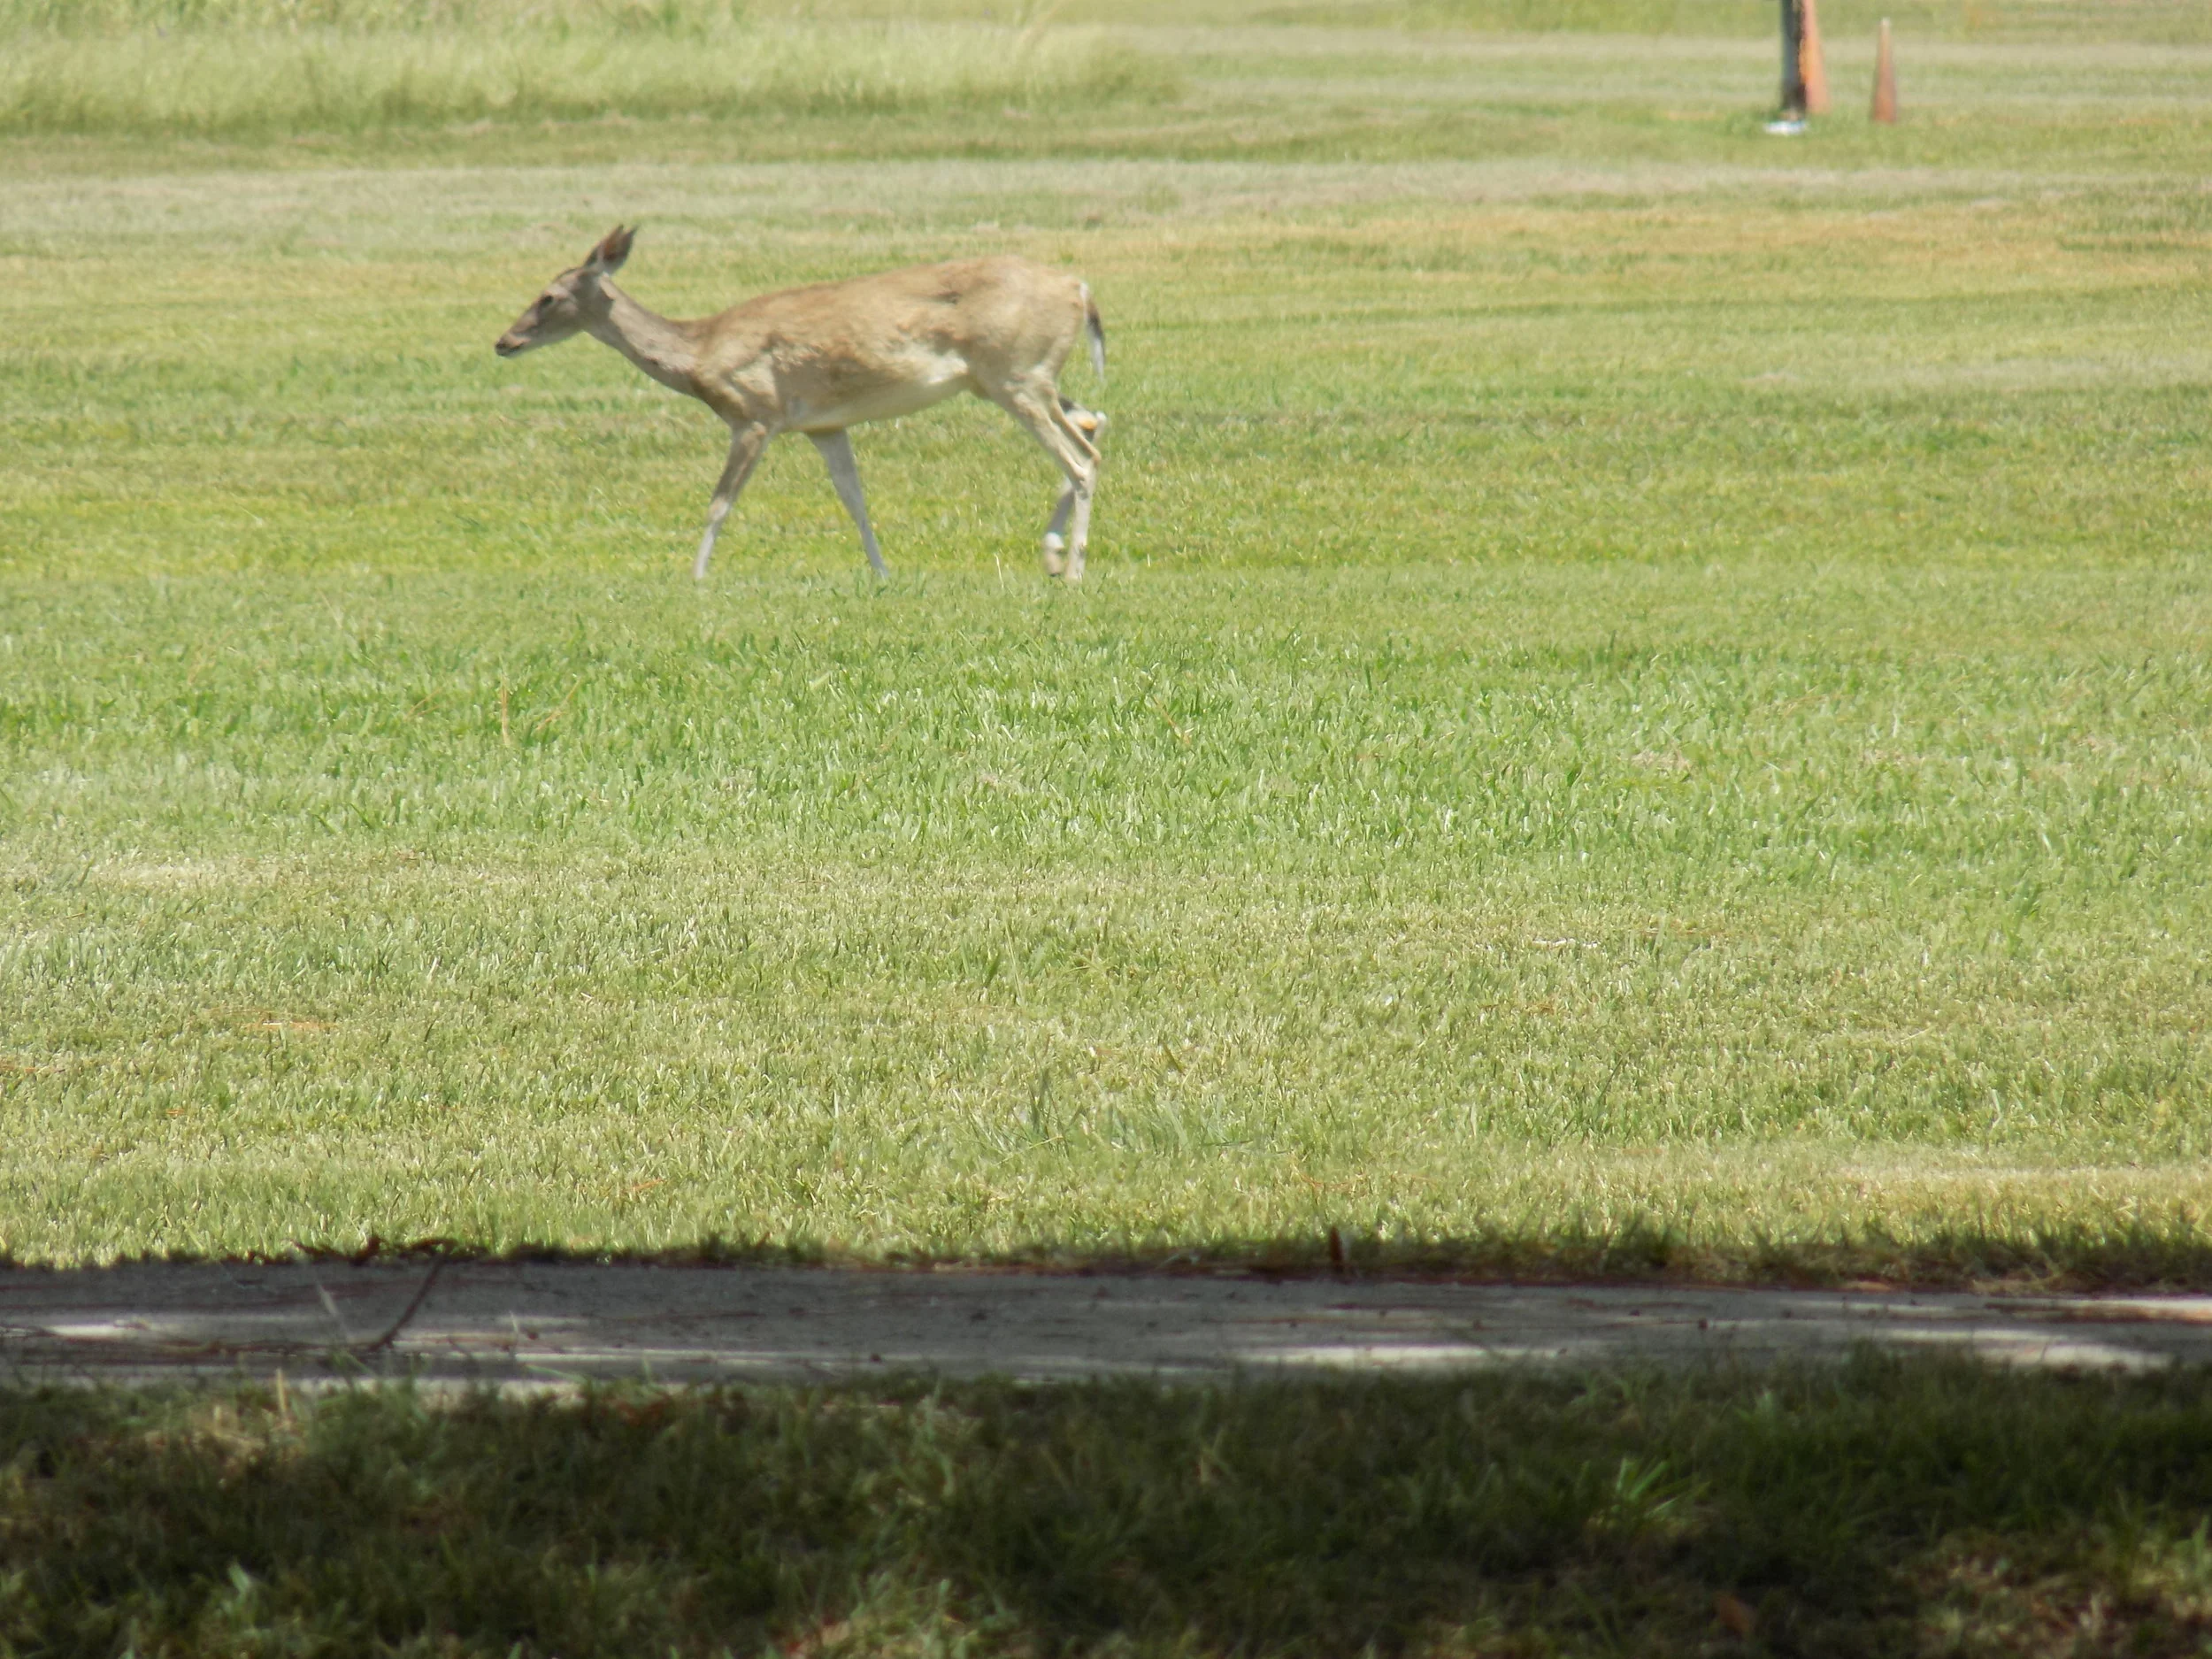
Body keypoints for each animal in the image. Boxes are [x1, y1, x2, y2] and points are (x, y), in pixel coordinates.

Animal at [495, 226, 1108, 583]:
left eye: (548, 296)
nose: (505, 341)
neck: (700, 350)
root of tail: (1080, 289)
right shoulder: (824, 426)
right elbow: (855, 499)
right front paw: (882, 573)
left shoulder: (754, 415)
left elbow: (719, 502)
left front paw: (695, 577)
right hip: (1015, 378)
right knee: (1091, 421)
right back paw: (1052, 557)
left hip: (1014, 375)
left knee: (1081, 458)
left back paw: (1075, 569)